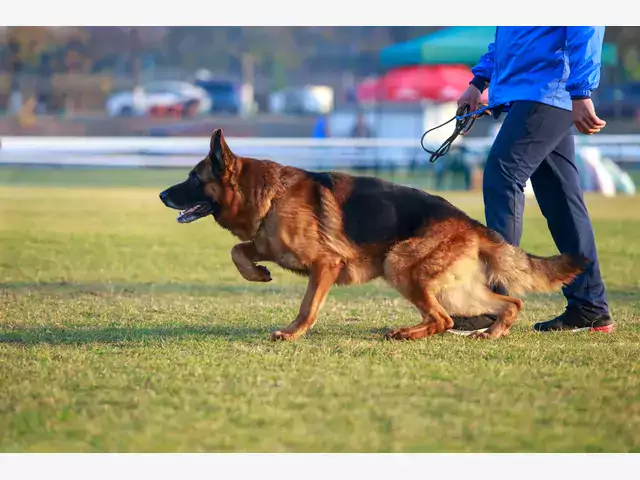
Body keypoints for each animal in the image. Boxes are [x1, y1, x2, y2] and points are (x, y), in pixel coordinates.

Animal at [159, 128, 584, 342]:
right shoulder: (266, 243)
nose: (162, 195)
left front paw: (293, 333)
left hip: (400, 265)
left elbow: (307, 306)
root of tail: (470, 223)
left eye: (194, 178)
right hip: (454, 289)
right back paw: (489, 333)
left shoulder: (326, 264)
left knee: (443, 318)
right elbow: (238, 249)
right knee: (504, 304)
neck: (269, 195)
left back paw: (408, 333)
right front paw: (258, 273)